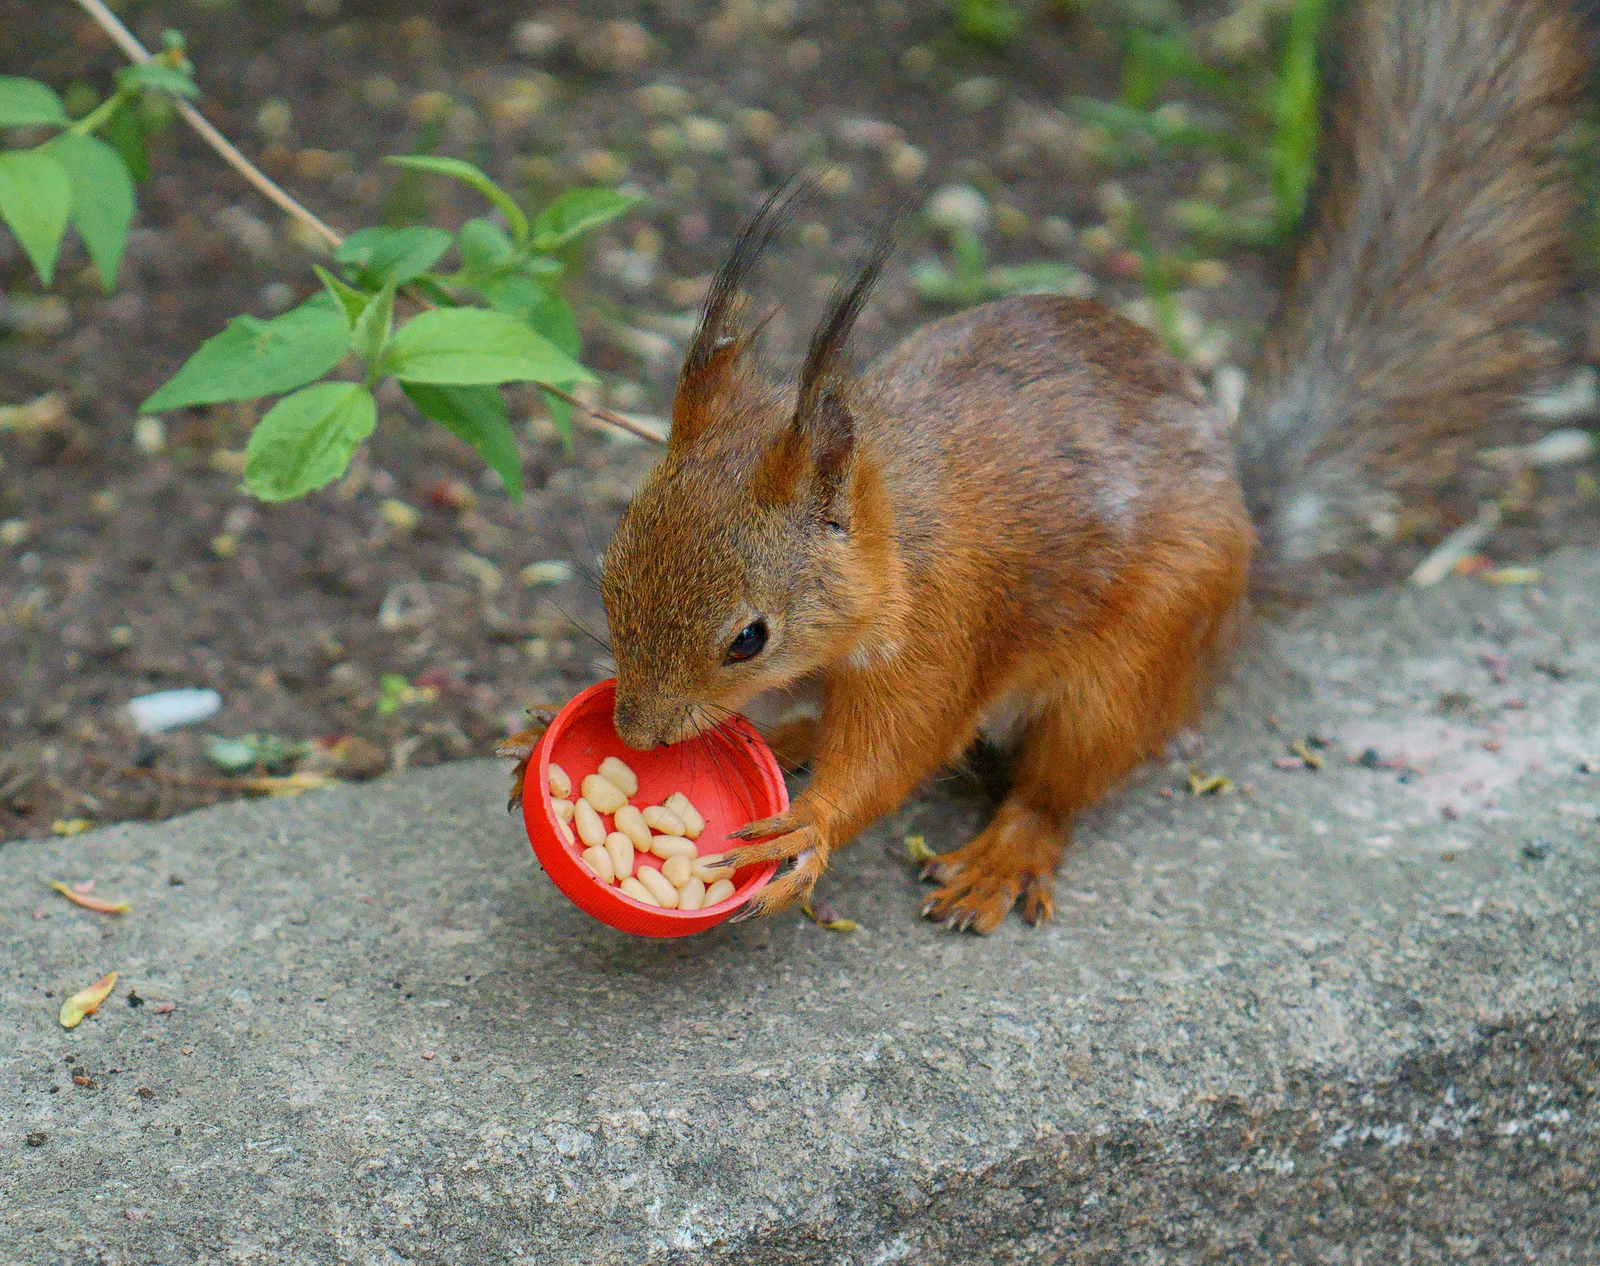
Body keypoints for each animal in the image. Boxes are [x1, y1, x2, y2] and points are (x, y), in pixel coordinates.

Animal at [505, 0, 1580, 928]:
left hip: (1128, 672)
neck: (897, 548)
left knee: (1061, 787)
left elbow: (901, 751)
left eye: (748, 640)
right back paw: (794, 737)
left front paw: (808, 827)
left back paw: (1002, 855)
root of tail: (1246, 527)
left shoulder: (943, 639)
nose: (638, 735)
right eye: (609, 576)